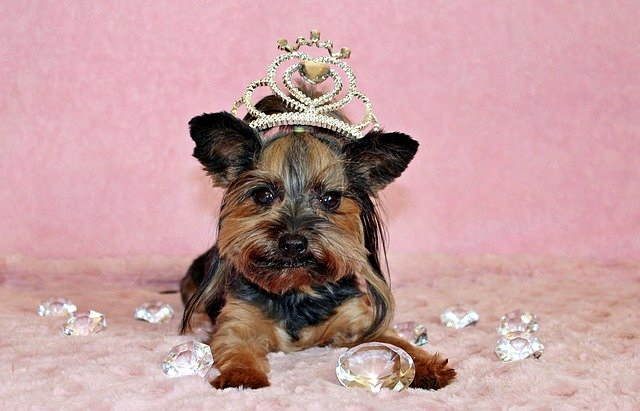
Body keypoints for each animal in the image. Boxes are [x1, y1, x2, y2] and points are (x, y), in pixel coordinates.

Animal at [178, 92, 458, 390]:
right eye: (263, 195)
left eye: (330, 198)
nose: (293, 243)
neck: (296, 290)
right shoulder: (238, 320)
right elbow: (234, 346)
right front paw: (242, 375)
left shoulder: (358, 318)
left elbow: (396, 343)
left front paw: (427, 367)